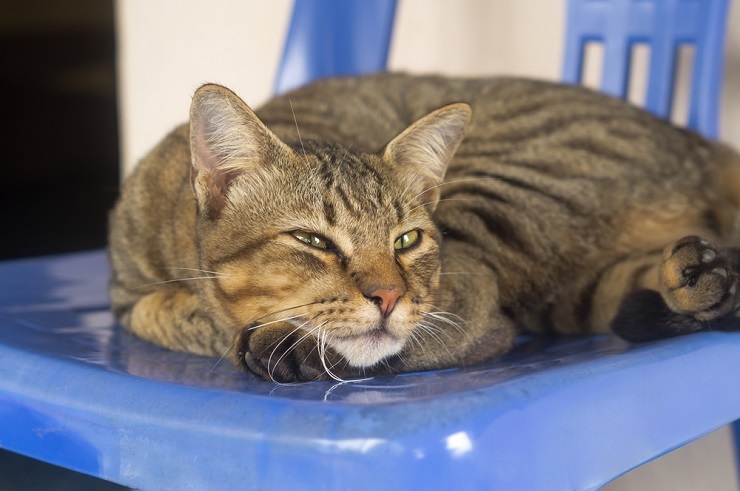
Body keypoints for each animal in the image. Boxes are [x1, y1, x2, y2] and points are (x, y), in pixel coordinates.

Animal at [107, 72, 740, 384]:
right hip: (587, 290)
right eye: (312, 240)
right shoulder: (125, 293)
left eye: (406, 239)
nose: (389, 296)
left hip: (499, 187)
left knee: (476, 314)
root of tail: (694, 142)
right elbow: (163, 312)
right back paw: (707, 277)